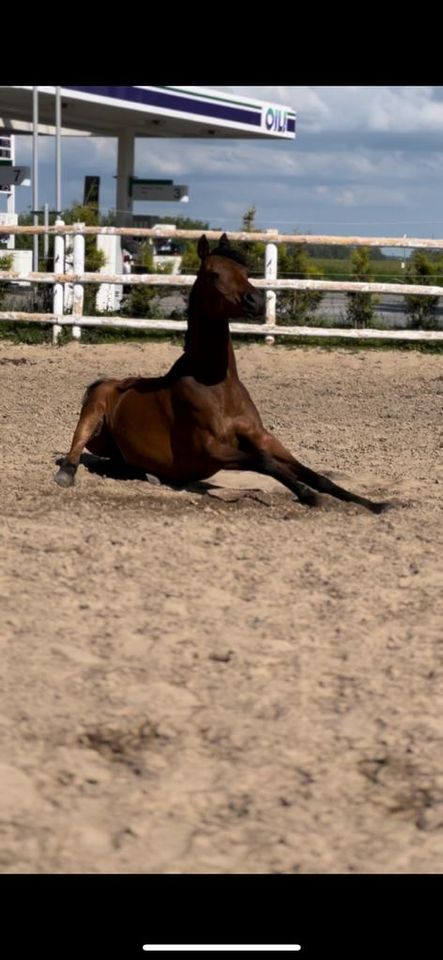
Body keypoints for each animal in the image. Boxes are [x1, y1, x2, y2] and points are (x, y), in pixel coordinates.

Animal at [54, 233, 388, 512]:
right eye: (214, 274)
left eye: (246, 271)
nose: (255, 301)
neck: (216, 385)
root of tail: (106, 383)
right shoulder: (212, 449)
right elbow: (266, 463)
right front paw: (307, 496)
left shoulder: (262, 437)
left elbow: (314, 473)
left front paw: (374, 504)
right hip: (93, 411)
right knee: (76, 449)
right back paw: (67, 474)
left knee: (118, 463)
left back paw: (150, 475)